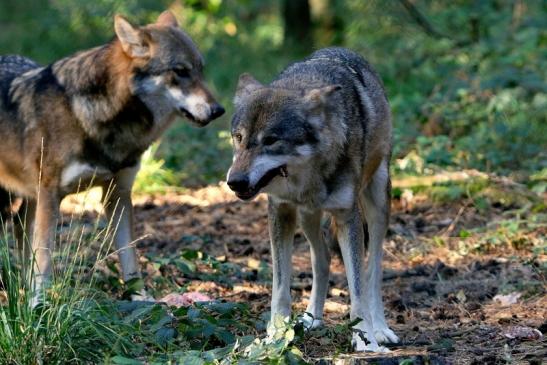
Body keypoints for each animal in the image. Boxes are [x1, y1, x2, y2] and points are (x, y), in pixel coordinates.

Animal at [0, 11, 225, 302]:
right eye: (180, 71)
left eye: (201, 70)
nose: (218, 110)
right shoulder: (50, 196)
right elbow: (46, 257)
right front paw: (40, 304)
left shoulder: (118, 194)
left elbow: (130, 256)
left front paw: (142, 298)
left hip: (29, 198)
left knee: (19, 227)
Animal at [226, 47, 398, 350]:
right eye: (239, 137)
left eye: (271, 140)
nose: (235, 181)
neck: (307, 176)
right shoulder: (280, 212)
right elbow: (280, 288)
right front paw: (276, 335)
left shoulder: (347, 217)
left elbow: (358, 291)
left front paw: (364, 339)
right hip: (307, 218)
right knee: (323, 258)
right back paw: (311, 318)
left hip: (377, 205)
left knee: (373, 272)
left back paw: (380, 329)